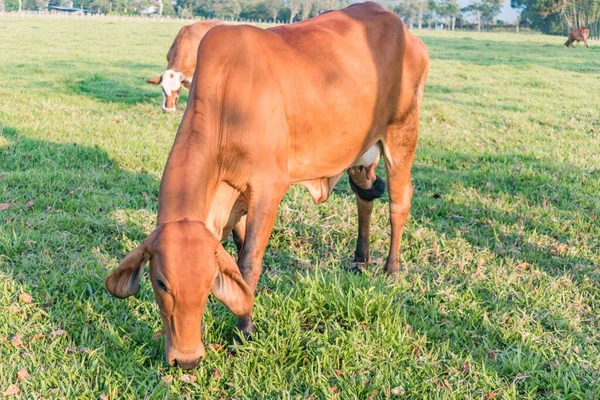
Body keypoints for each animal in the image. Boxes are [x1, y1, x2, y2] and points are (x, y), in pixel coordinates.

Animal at [105, 2, 428, 368]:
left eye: (208, 284)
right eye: (160, 282)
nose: (186, 359)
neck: (227, 103)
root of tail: (406, 32)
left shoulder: (268, 189)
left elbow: (249, 261)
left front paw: (243, 331)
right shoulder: (236, 196)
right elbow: (239, 250)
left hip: (402, 134)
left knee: (399, 204)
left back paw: (391, 270)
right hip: (361, 154)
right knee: (365, 197)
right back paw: (360, 260)